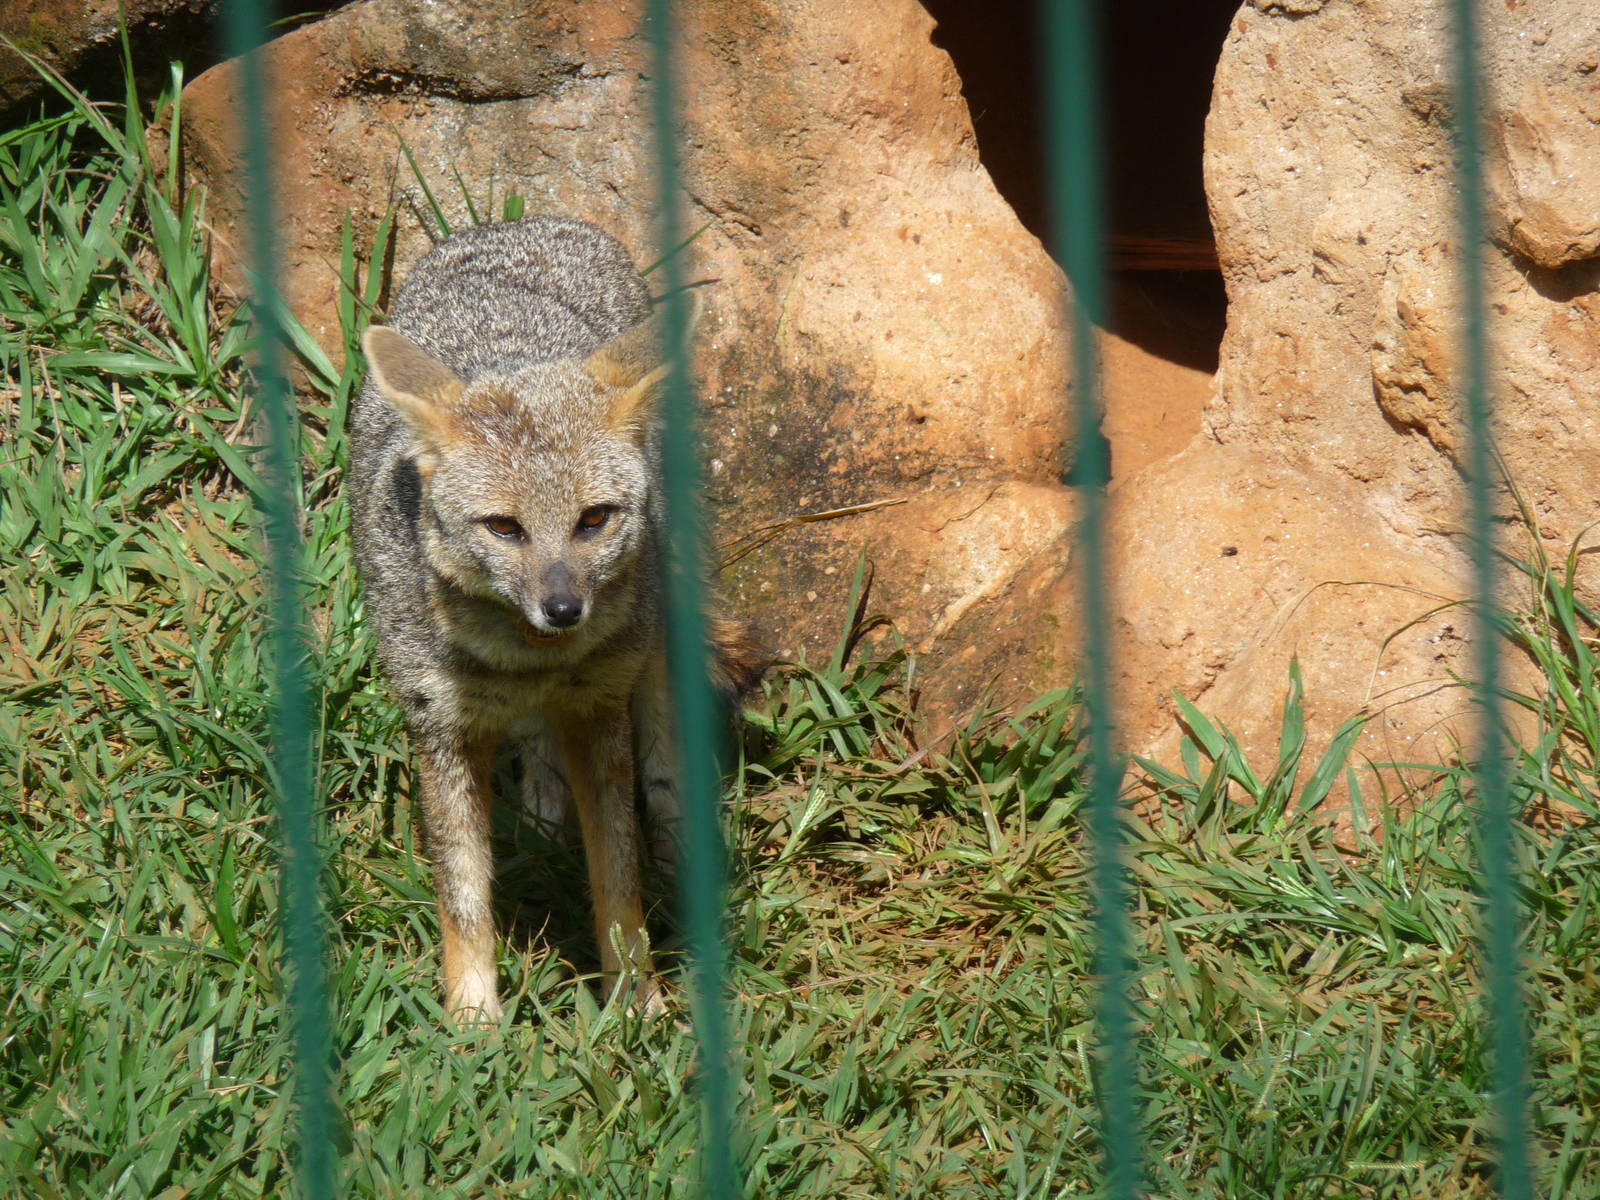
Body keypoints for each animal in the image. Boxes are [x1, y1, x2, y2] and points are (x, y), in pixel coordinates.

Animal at [349, 217, 759, 1023]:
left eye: (593, 519)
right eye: (505, 528)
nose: (563, 609)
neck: (526, 659)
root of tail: (531, 223)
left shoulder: (597, 710)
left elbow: (619, 881)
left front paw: (635, 1001)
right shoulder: (441, 727)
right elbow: (464, 897)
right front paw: (473, 1018)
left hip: (657, 646)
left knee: (663, 764)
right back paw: (541, 827)